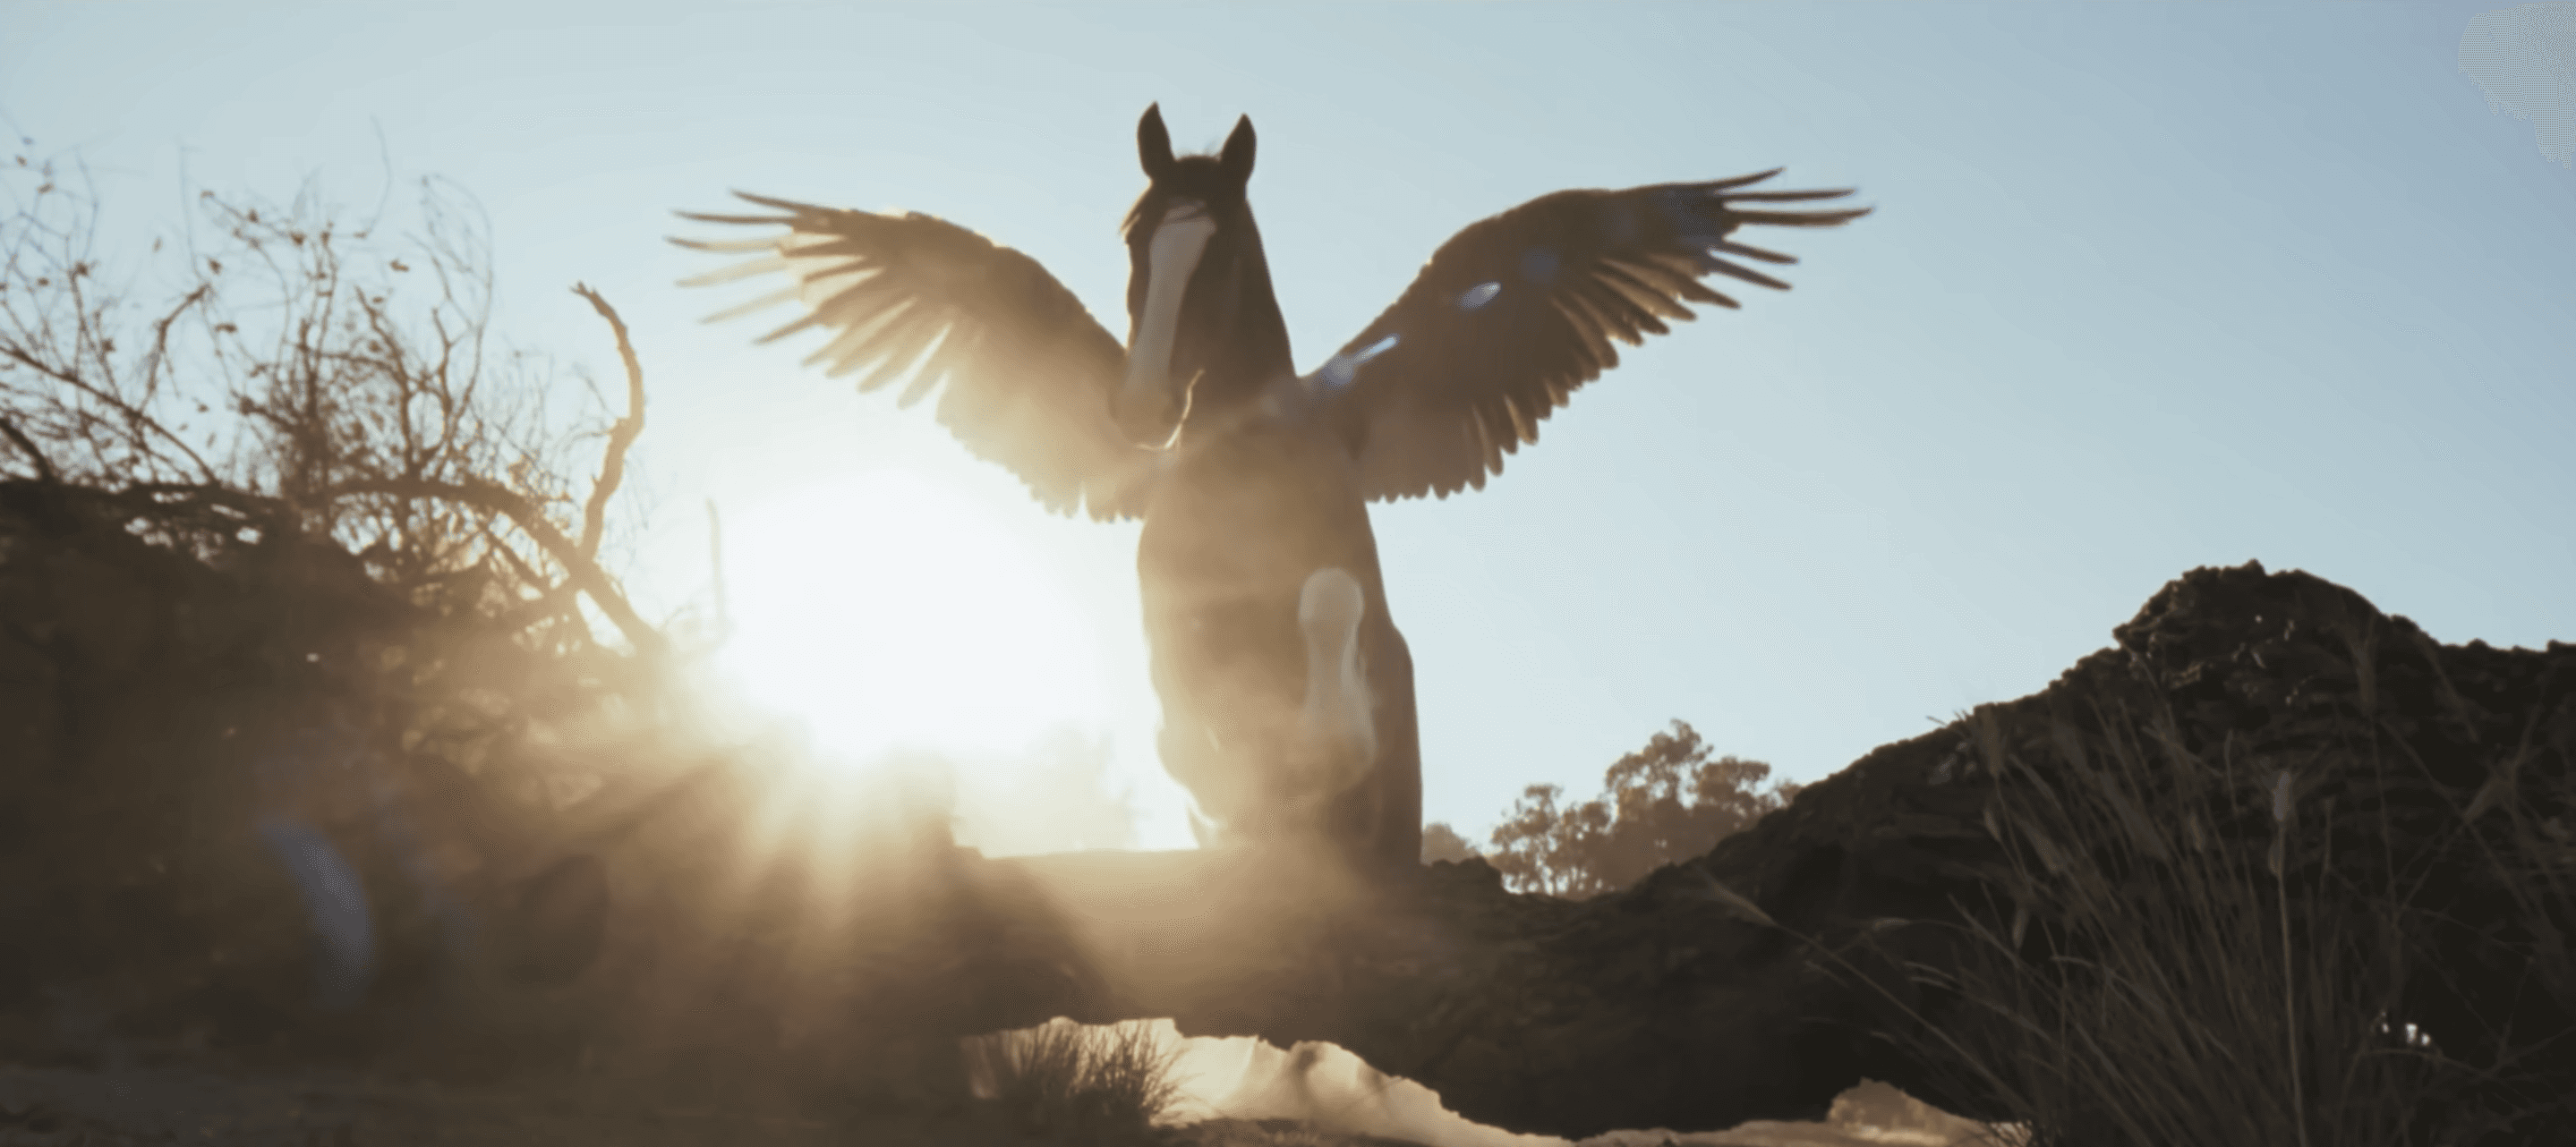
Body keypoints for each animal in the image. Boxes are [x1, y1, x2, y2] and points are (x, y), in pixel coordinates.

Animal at [673, 104, 1867, 882]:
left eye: (1223, 252)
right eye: (1135, 238)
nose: (1141, 405)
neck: (1240, 457)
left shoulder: (1336, 636)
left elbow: (1327, 641)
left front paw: (1291, 755)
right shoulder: (1171, 636)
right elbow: (1181, 738)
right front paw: (1230, 788)